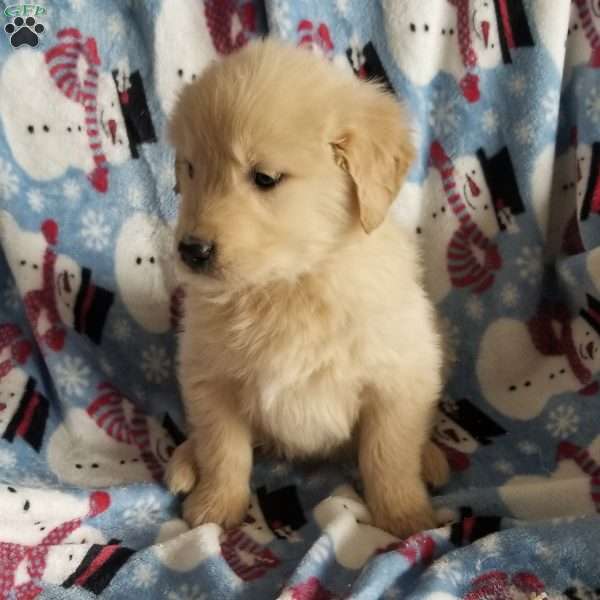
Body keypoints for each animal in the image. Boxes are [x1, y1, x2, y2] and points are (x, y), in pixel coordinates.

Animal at [166, 38, 448, 536]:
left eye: (265, 178)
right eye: (191, 170)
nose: (191, 250)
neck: (290, 283)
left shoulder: (398, 376)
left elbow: (389, 455)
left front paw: (405, 517)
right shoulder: (209, 376)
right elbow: (222, 448)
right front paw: (215, 507)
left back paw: (430, 459)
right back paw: (184, 462)